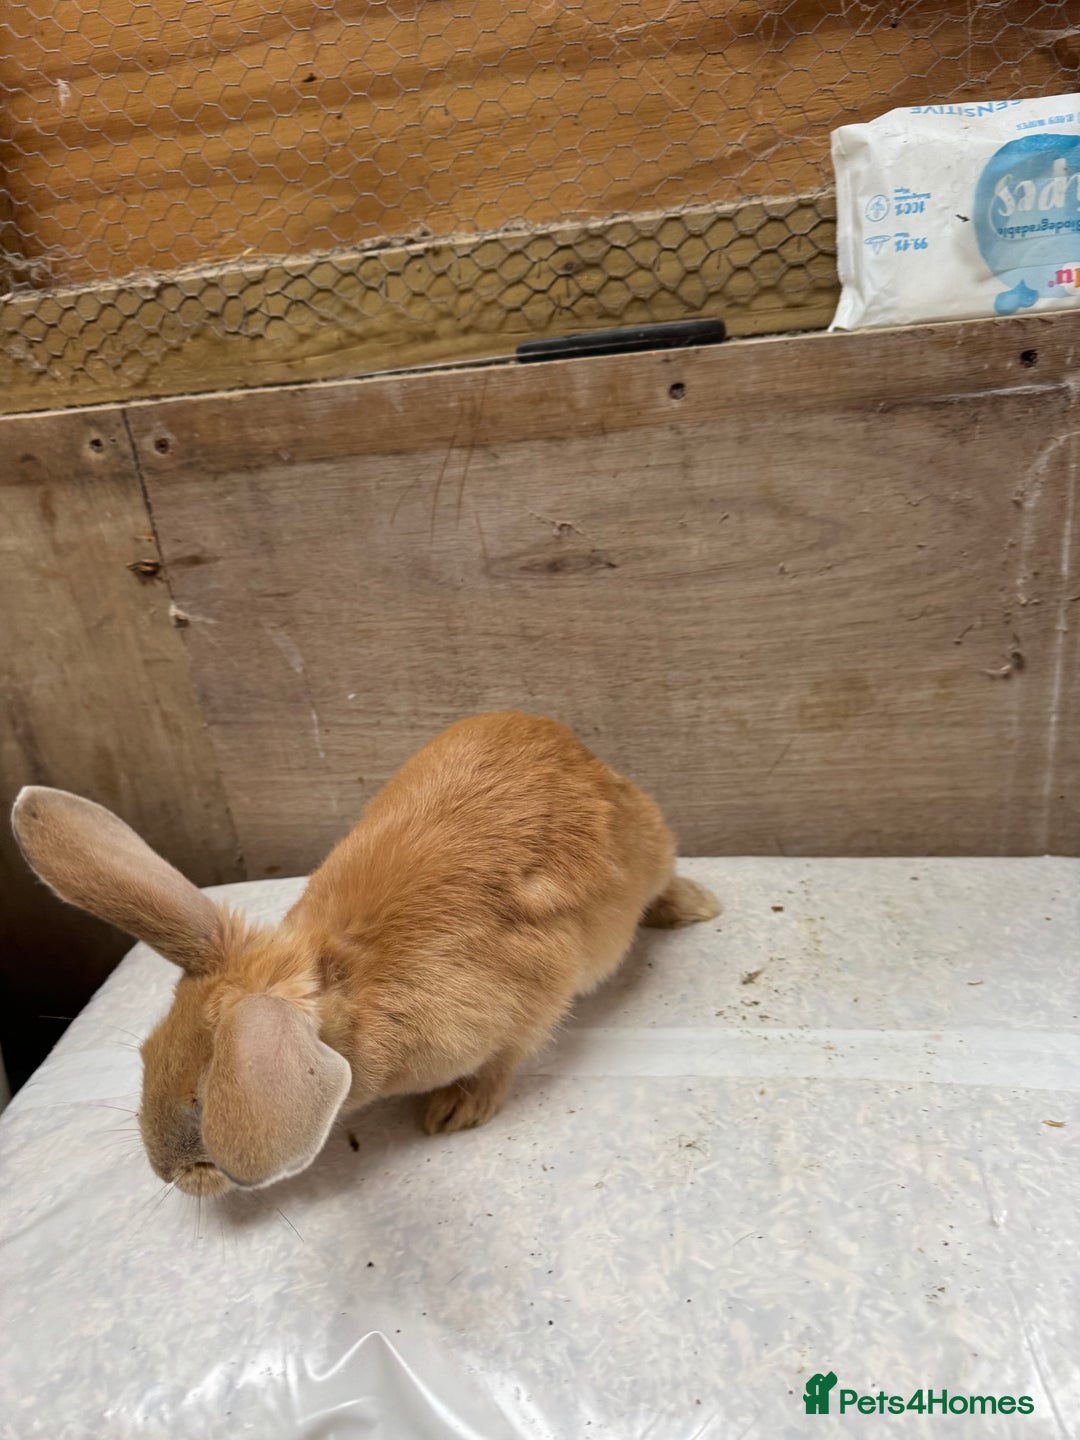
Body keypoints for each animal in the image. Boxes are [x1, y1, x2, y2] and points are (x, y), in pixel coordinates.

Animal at [12, 711, 720, 1198]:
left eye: (207, 1104)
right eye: (145, 1054)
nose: (165, 1173)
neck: (352, 984)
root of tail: (586, 753)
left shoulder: (532, 999)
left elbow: (506, 1060)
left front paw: (454, 1113)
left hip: (650, 846)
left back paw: (696, 907)